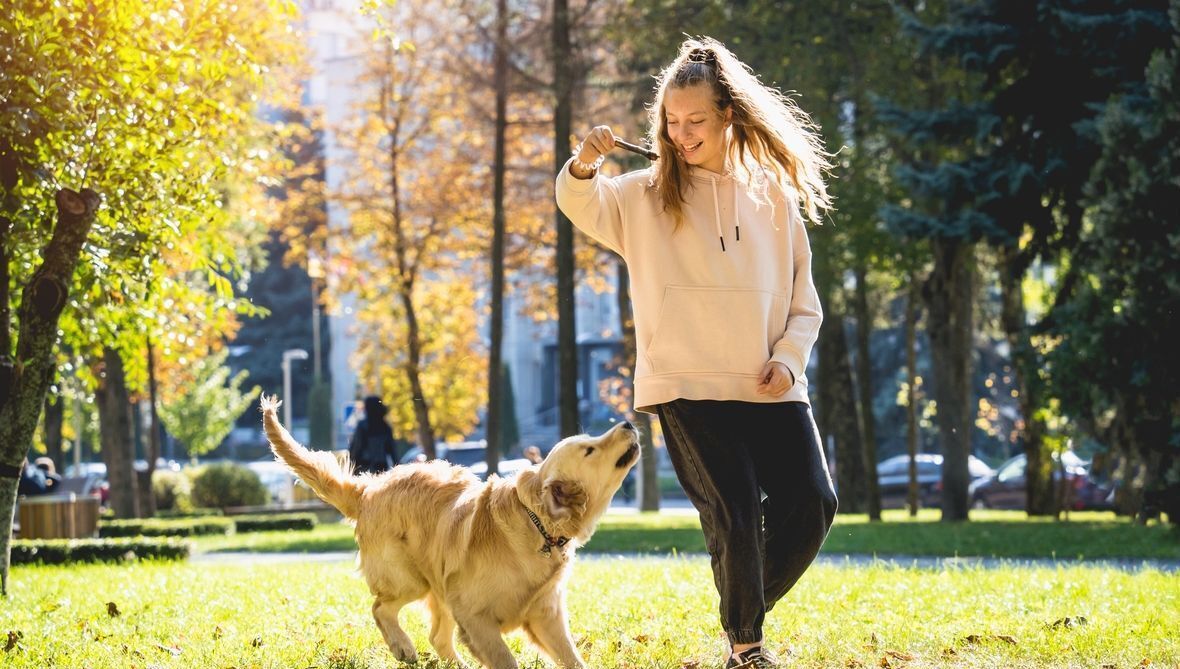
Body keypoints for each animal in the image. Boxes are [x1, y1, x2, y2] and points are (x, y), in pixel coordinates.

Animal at [261, 396, 641, 669]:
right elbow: (505, 660)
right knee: (381, 608)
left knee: (437, 637)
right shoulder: (475, 618)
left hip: (440, 588)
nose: (628, 422)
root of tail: (369, 488)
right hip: (411, 579)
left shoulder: (546, 615)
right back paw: (402, 646)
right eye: (590, 449)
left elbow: (573, 659)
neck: (537, 525)